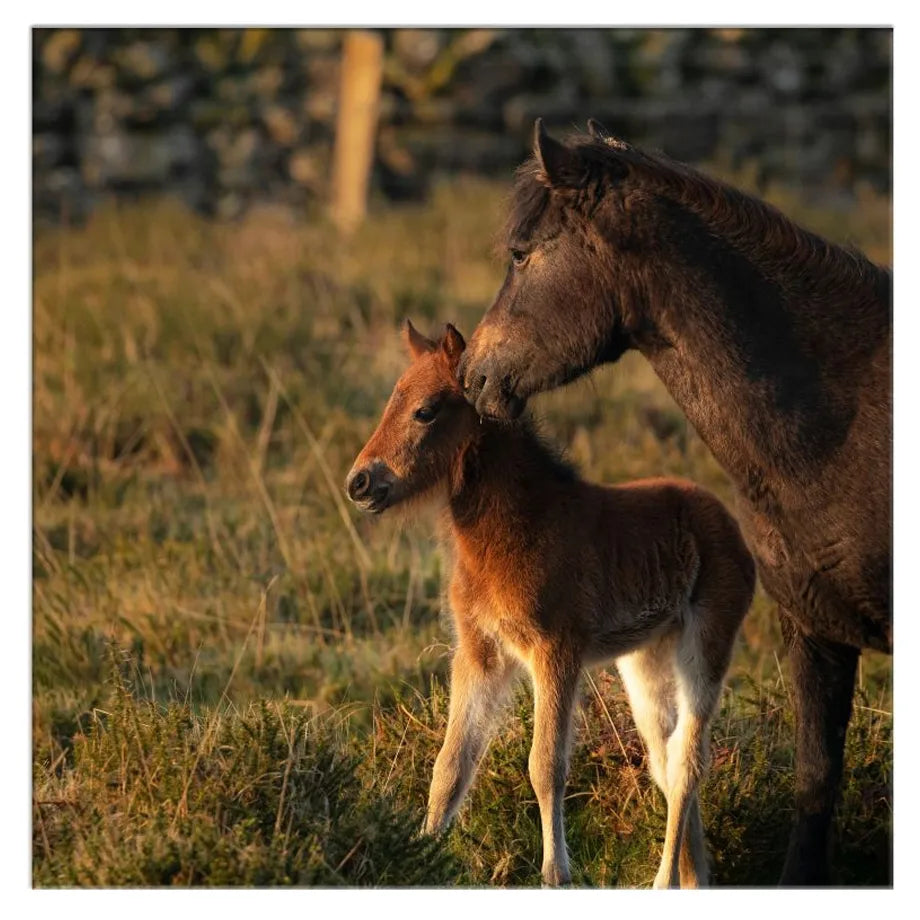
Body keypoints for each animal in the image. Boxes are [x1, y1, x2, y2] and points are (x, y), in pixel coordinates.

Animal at [346, 321, 755, 887]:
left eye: (425, 410)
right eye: (392, 399)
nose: (360, 482)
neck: (515, 531)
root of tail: (731, 526)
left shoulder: (556, 651)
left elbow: (546, 766)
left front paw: (555, 873)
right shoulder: (480, 654)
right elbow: (450, 766)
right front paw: (419, 858)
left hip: (707, 645)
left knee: (690, 762)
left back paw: (662, 881)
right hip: (645, 661)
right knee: (666, 759)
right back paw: (693, 879)